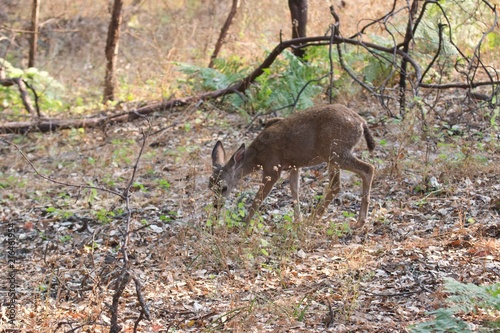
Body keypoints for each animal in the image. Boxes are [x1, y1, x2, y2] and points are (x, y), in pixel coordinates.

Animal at [209, 104, 376, 228]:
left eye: (224, 187)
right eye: (209, 186)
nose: (216, 206)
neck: (258, 157)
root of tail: (361, 122)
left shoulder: (272, 168)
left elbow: (259, 198)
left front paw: (244, 225)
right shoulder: (295, 165)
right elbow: (294, 190)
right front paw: (298, 220)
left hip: (336, 152)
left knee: (367, 169)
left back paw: (356, 221)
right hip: (334, 155)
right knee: (338, 184)